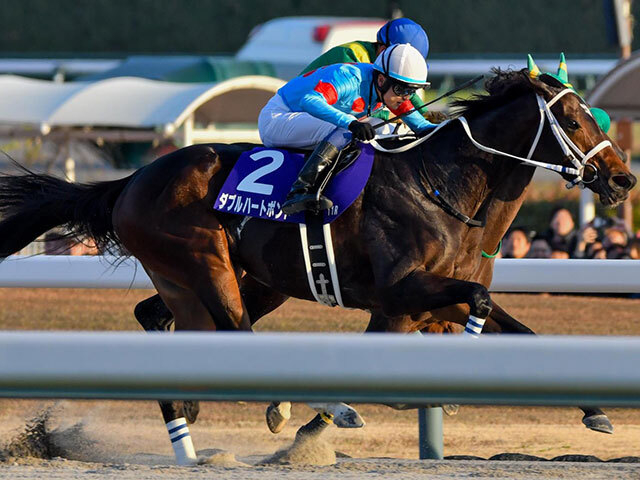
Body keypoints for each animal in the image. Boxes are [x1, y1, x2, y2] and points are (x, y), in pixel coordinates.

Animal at [0, 68, 634, 464]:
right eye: (573, 121)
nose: (624, 179)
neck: (439, 185)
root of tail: (131, 180)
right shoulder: (402, 293)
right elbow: (470, 312)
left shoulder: (428, 297)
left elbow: (516, 326)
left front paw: (596, 410)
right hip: (204, 262)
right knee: (235, 335)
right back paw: (305, 406)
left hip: (229, 280)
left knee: (157, 316)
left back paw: (186, 435)